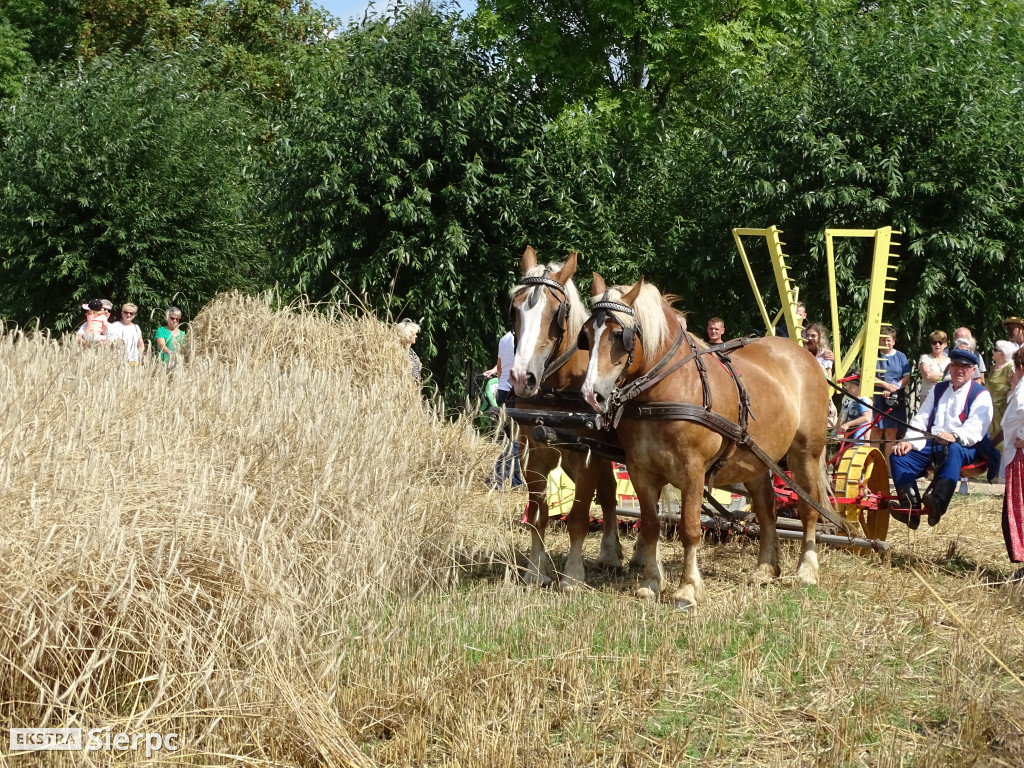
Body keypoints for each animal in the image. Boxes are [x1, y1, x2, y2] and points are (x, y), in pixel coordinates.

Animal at [581, 274, 835, 606]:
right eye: (586, 334)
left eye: (617, 335)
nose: (591, 395)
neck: (668, 387)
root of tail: (803, 354)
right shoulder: (640, 470)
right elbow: (650, 527)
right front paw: (650, 583)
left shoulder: (693, 470)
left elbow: (690, 528)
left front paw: (688, 588)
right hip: (754, 460)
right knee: (767, 511)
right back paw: (765, 569)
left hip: (805, 453)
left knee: (808, 509)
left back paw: (806, 571)